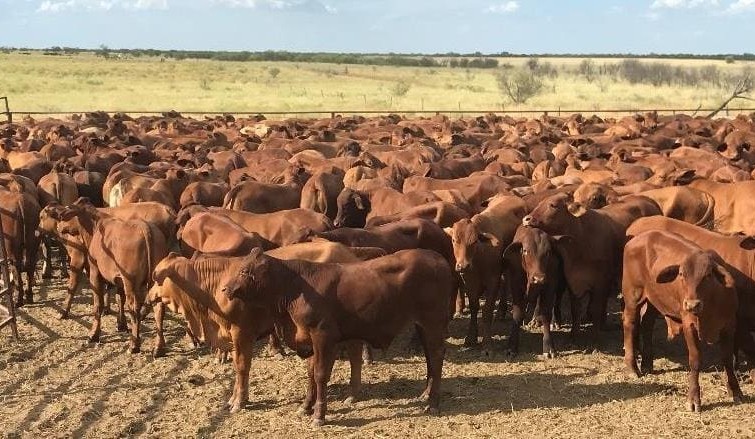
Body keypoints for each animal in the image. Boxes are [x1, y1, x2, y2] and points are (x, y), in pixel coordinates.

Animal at [220, 248, 456, 426]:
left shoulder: (323, 335)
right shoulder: (309, 339)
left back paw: (433, 404)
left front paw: (319, 415)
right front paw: (305, 406)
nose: (225, 289)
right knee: (430, 357)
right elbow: (311, 373)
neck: (296, 288)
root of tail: (439, 259)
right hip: (422, 325)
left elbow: (320, 374)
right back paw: (425, 394)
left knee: (436, 355)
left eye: (244, 271)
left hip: (433, 321)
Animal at [622, 230, 742, 412]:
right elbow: (695, 359)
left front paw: (735, 390)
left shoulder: (729, 325)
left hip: (654, 300)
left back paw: (647, 364)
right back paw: (632, 367)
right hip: (633, 296)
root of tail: (638, 238)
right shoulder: (689, 325)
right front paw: (694, 399)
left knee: (647, 324)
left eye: (707, 276)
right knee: (630, 323)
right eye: (681, 274)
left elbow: (727, 358)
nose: (692, 305)